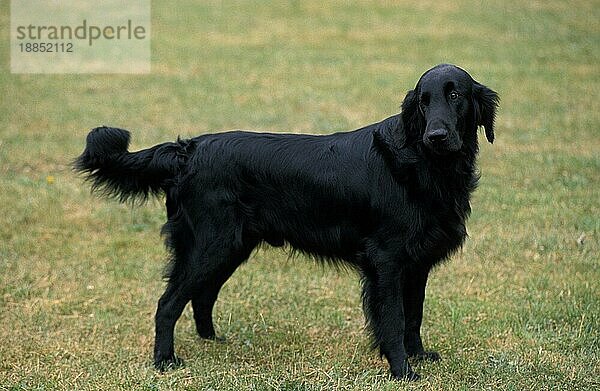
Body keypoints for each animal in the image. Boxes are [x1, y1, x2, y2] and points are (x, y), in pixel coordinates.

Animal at [74, 63, 496, 380]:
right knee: (168, 302)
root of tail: (188, 149)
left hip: (229, 248)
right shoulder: (387, 261)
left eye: (454, 95)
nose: (436, 135)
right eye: (423, 103)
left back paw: (212, 341)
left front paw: (419, 356)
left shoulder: (417, 264)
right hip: (213, 245)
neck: (424, 164)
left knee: (201, 296)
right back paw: (164, 361)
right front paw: (402, 371)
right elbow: (393, 319)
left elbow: (414, 316)